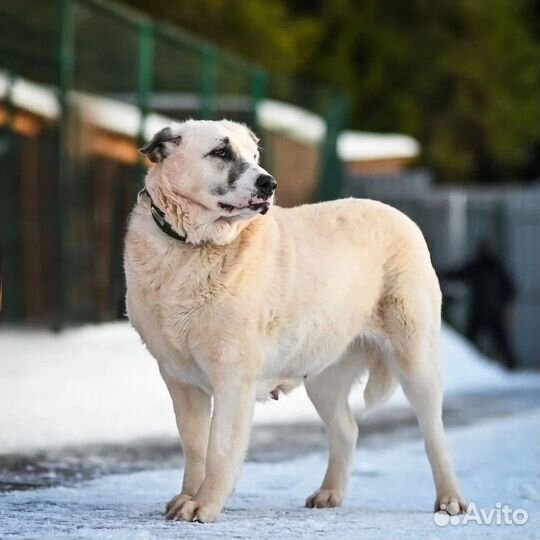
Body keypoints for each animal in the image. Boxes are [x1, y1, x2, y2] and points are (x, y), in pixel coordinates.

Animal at [124, 119, 466, 524]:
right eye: (221, 152)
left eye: (254, 156)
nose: (268, 183)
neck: (191, 249)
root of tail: (399, 215)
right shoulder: (180, 381)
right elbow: (194, 448)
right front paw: (187, 498)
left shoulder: (232, 378)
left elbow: (219, 449)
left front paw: (204, 507)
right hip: (323, 374)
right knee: (346, 429)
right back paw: (330, 493)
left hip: (415, 359)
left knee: (434, 434)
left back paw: (450, 500)